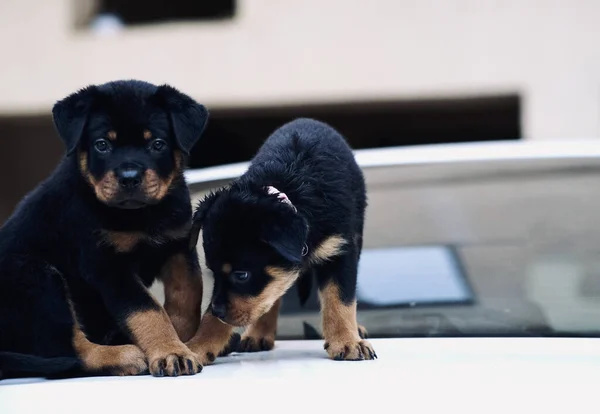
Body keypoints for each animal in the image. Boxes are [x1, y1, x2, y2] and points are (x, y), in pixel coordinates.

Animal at [0, 80, 209, 378]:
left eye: (157, 144)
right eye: (102, 145)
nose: (129, 178)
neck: (139, 214)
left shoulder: (178, 247)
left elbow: (187, 297)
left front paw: (183, 343)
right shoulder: (107, 267)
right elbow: (147, 311)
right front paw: (171, 352)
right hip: (34, 277)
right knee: (66, 349)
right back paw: (123, 355)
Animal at [185, 118, 378, 364]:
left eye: (242, 275)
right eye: (212, 272)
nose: (219, 311)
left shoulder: (339, 250)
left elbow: (340, 299)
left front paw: (347, 341)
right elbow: (214, 314)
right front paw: (197, 346)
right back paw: (258, 334)